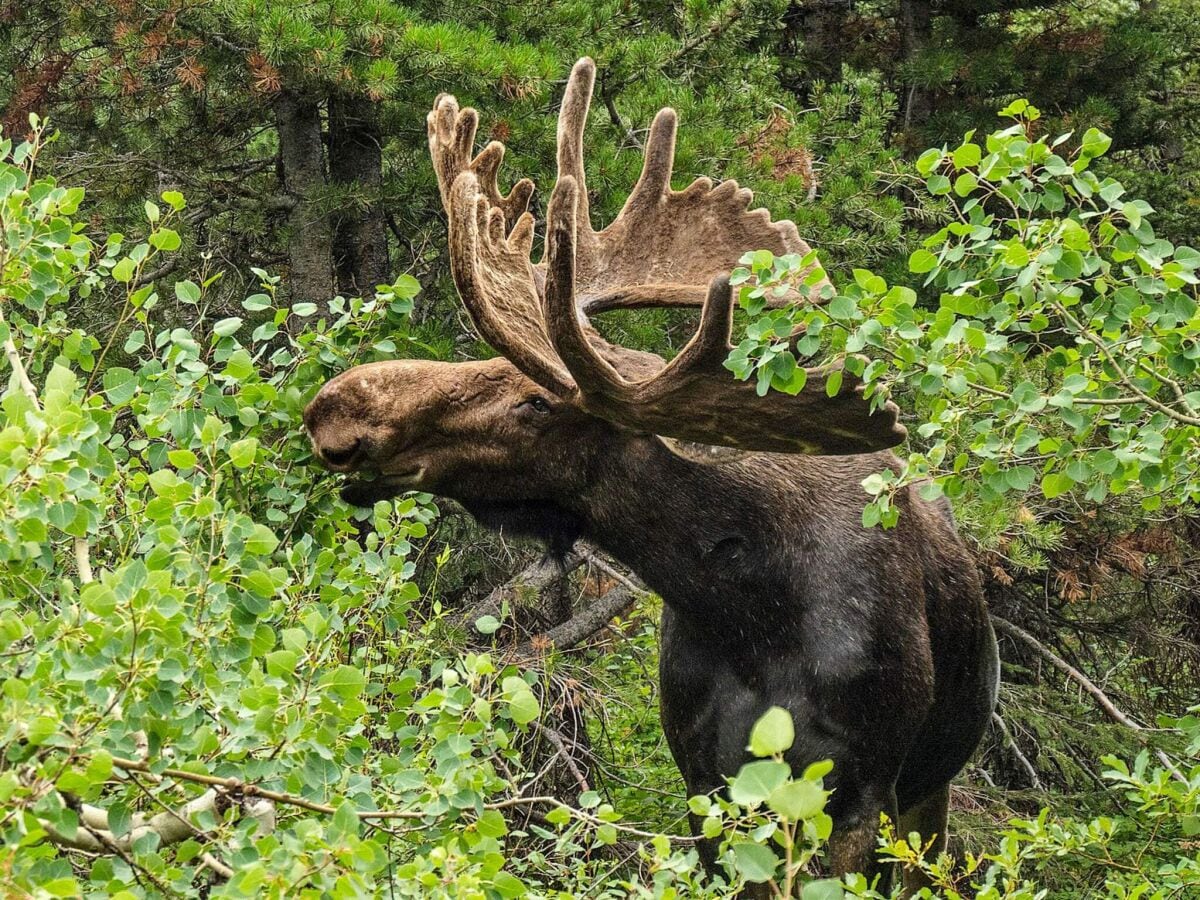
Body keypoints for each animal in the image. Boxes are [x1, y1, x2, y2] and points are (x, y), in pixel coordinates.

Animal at [304, 58, 998, 897]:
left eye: (535, 402)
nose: (334, 408)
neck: (746, 609)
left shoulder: (860, 788)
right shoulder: (706, 782)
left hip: (930, 793)